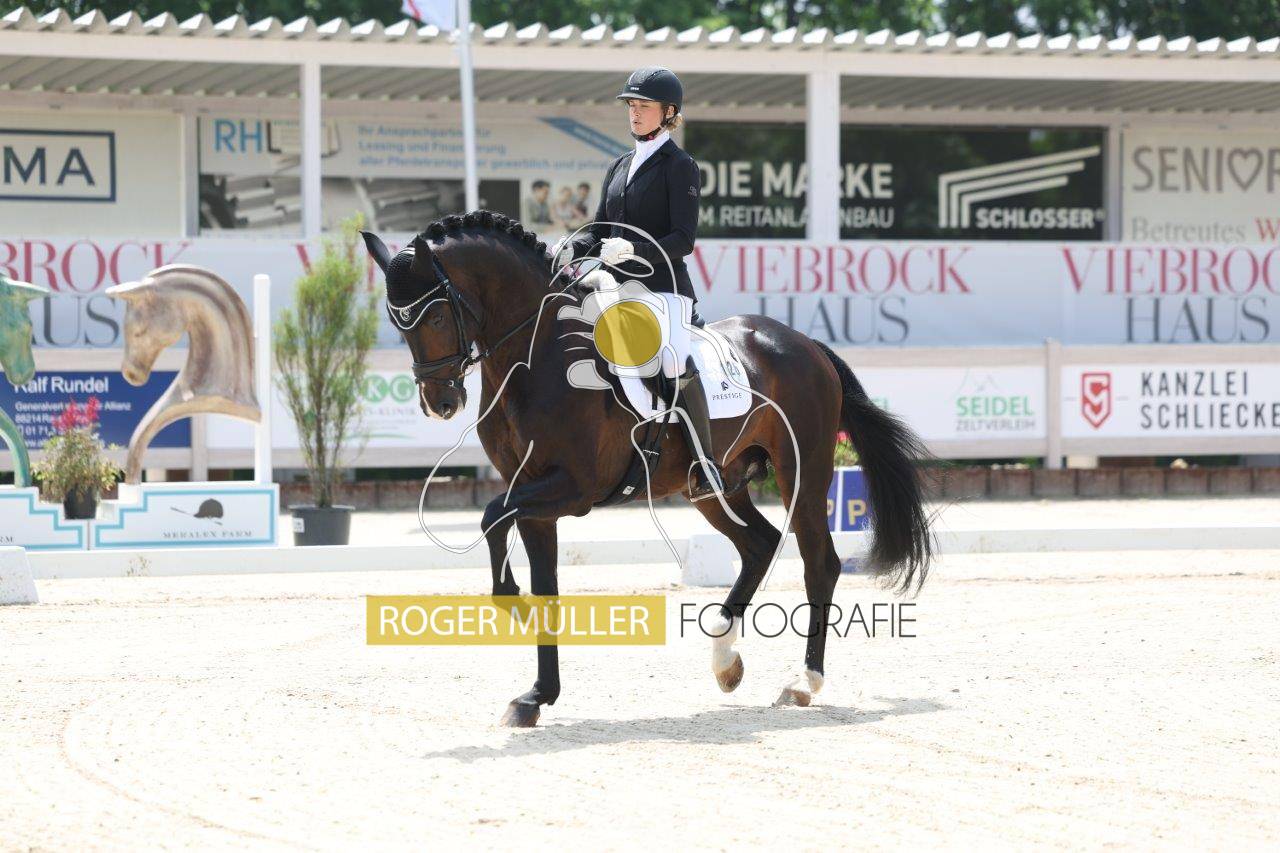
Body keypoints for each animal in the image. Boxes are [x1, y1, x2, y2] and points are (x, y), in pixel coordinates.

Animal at [363, 210, 933, 727]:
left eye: (437, 317)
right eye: (397, 322)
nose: (440, 403)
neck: (536, 356)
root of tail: (804, 344)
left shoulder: (572, 489)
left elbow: (490, 517)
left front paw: (513, 608)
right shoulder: (532, 494)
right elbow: (535, 569)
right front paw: (536, 695)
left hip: (804, 474)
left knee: (820, 562)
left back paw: (803, 682)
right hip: (714, 487)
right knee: (760, 544)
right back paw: (725, 662)